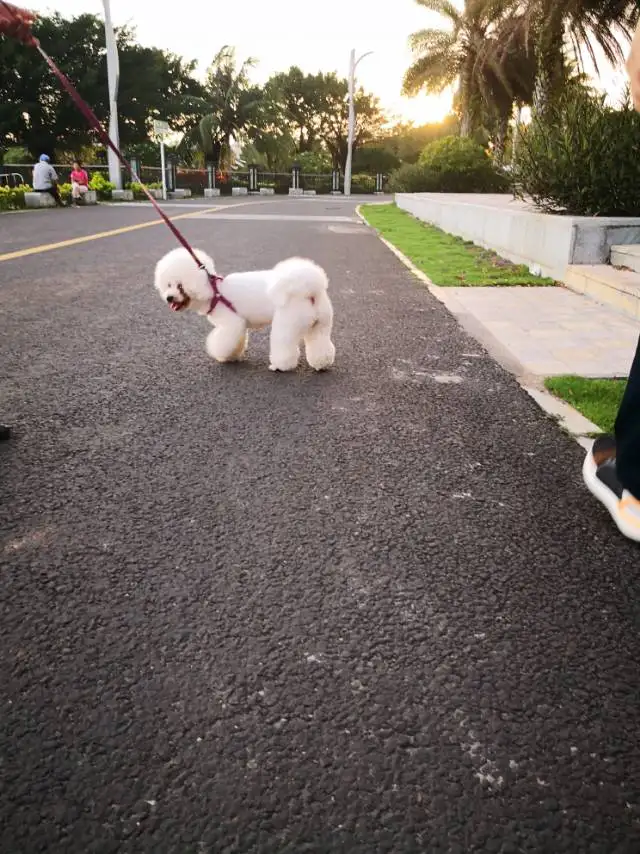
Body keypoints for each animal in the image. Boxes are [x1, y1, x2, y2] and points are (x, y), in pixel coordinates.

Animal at [153, 244, 338, 372]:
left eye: (179, 286)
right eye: (168, 285)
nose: (169, 297)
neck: (213, 291)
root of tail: (309, 288)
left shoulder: (231, 324)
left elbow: (222, 341)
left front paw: (220, 354)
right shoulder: (239, 326)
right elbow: (237, 341)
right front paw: (233, 356)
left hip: (288, 323)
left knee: (284, 345)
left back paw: (280, 366)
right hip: (320, 325)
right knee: (321, 344)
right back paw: (321, 363)